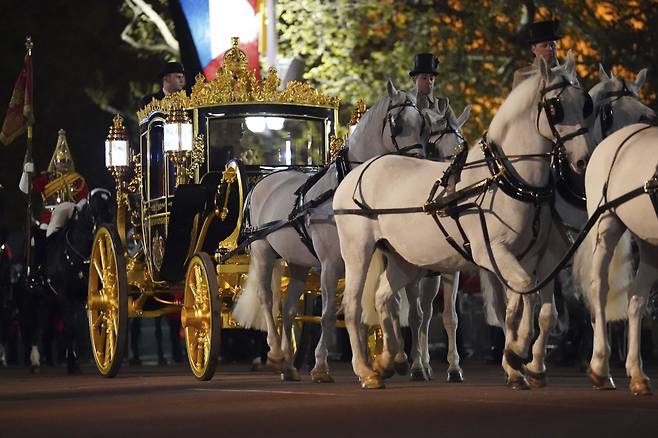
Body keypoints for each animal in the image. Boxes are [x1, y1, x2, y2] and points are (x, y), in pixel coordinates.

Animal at [231, 80, 462, 382]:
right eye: (397, 123)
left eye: (423, 125)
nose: (416, 166)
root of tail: (265, 178)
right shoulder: (331, 263)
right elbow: (330, 313)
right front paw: (321, 366)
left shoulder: (373, 258)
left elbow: (377, 305)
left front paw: (388, 360)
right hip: (262, 251)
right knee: (267, 300)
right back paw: (276, 354)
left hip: (298, 262)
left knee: (289, 308)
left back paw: (290, 366)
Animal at [334, 51, 588, 390]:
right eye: (555, 107)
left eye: (584, 102)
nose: (582, 160)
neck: (504, 177)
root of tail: (360, 170)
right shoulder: (492, 253)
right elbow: (522, 294)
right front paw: (517, 353)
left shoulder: (537, 257)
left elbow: (529, 303)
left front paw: (520, 363)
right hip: (358, 252)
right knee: (353, 306)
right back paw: (365, 369)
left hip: (405, 260)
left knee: (384, 297)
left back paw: (390, 360)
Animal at [568, 121, 656, 396]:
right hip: (605, 224)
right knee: (599, 288)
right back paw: (599, 367)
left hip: (648, 242)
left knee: (636, 298)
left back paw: (637, 372)